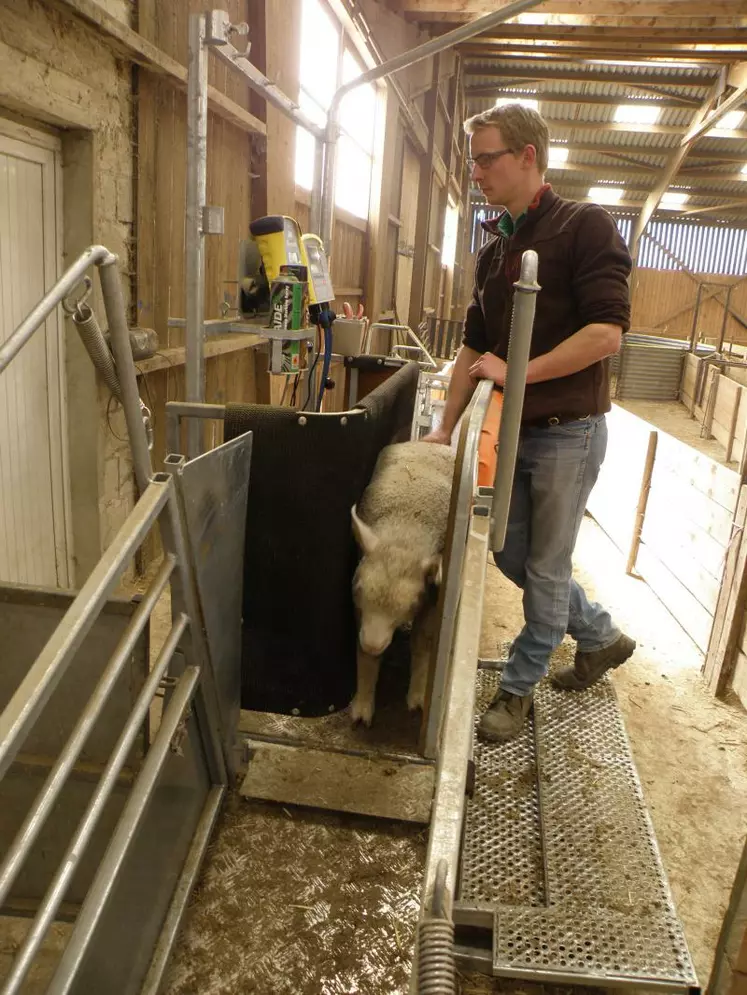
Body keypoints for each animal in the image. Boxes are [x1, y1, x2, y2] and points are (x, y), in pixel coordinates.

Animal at [350, 442, 456, 724]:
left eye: (410, 605)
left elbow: (423, 642)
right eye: (358, 589)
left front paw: (418, 699)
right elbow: (363, 653)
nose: (373, 643)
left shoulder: (432, 596)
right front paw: (362, 708)